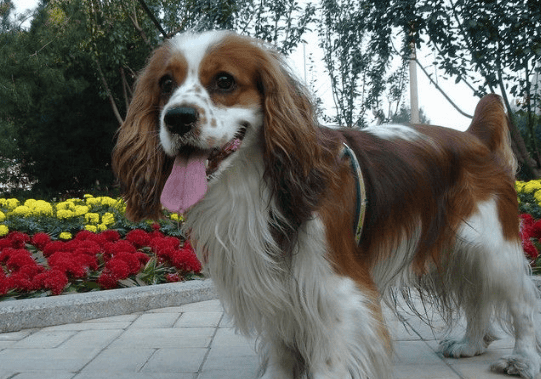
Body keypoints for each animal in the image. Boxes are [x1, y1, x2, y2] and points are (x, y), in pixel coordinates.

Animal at [112, 30, 536, 379]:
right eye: (166, 83)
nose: (177, 118)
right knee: (476, 293)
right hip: (452, 248)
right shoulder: (273, 287)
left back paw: (523, 360)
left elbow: (328, 360)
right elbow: (281, 351)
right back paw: (471, 343)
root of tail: (475, 136)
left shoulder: (335, 290)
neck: (253, 181)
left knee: (521, 302)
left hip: (493, 246)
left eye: (224, 81)